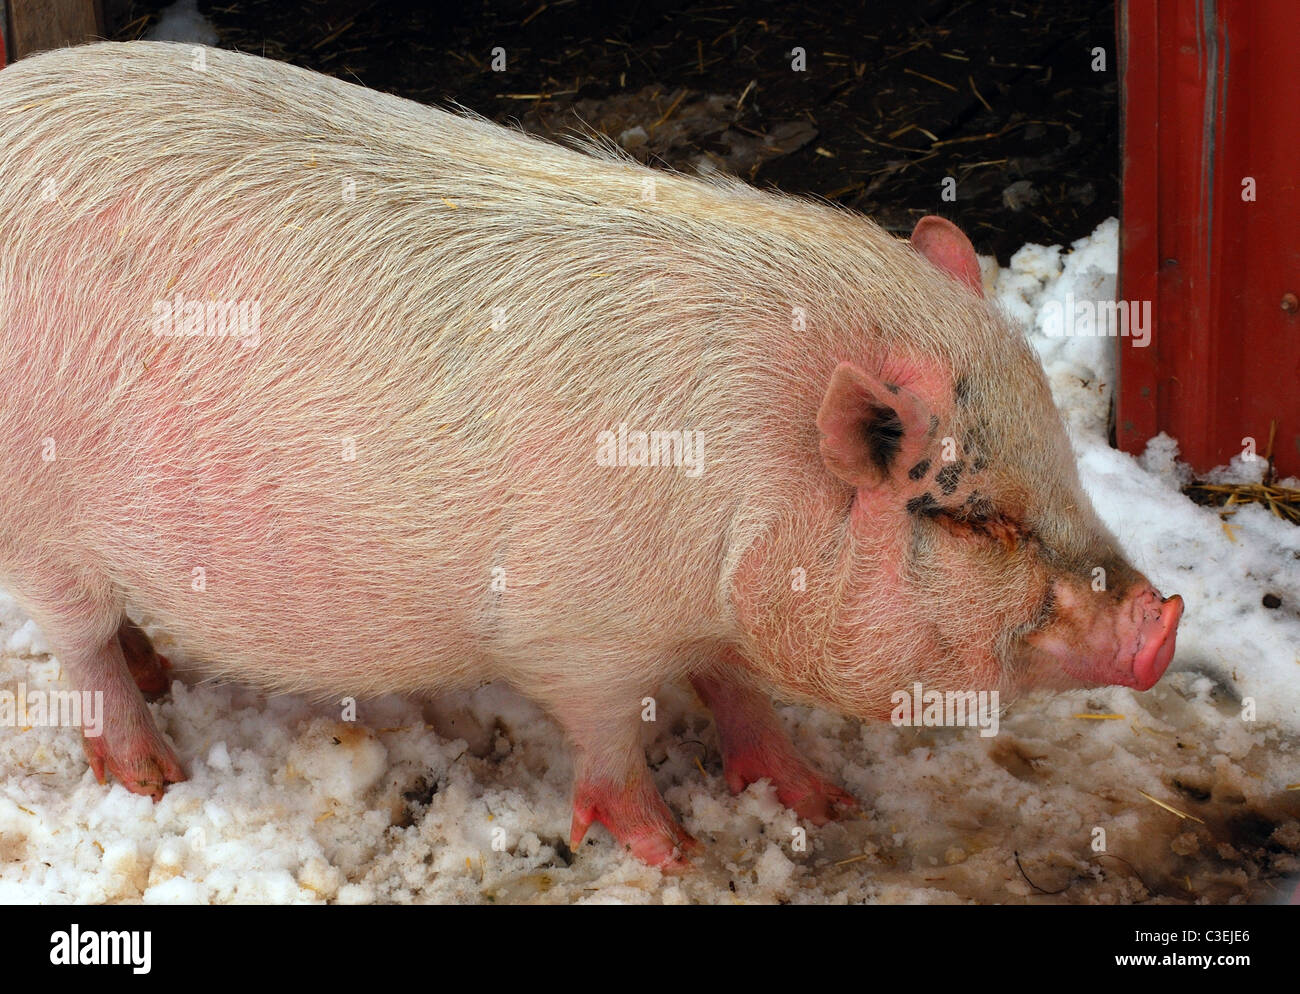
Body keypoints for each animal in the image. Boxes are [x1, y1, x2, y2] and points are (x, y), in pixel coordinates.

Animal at [0, 41, 1182, 869]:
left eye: (1064, 464)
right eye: (976, 515)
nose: (1163, 617)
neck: (749, 480)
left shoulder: (707, 620)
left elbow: (739, 694)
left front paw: (822, 799)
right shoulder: (577, 634)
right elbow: (611, 745)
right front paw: (681, 855)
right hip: (39, 517)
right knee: (80, 652)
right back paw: (154, 777)